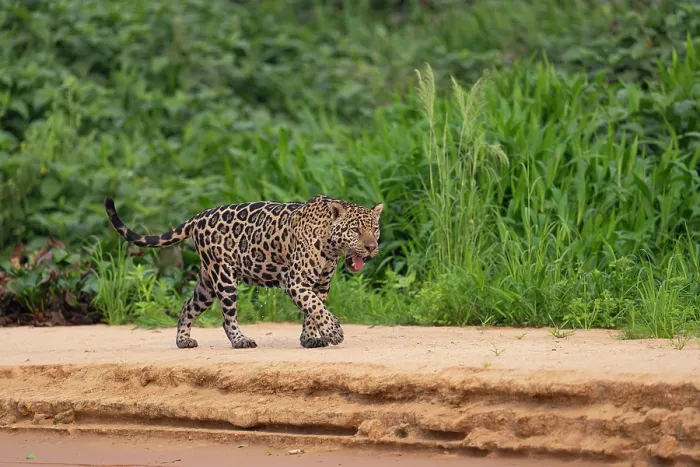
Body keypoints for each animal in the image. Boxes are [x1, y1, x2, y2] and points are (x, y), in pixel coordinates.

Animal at [104, 194, 383, 349]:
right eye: (355, 230)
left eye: (375, 229)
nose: (371, 247)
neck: (331, 246)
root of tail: (198, 217)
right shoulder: (295, 281)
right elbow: (315, 307)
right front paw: (334, 332)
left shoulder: (321, 285)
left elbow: (312, 310)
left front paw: (310, 338)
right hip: (224, 278)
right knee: (227, 318)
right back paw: (240, 341)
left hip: (207, 283)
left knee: (187, 307)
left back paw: (183, 340)